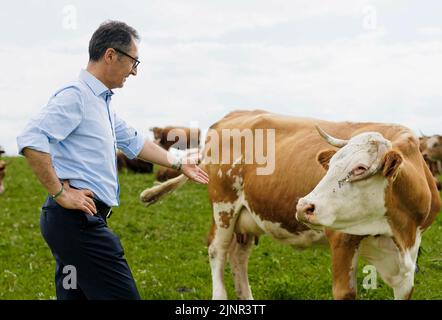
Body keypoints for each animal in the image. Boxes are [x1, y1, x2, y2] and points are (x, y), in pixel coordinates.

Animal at [139, 110, 438, 300]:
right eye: (331, 164)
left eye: (360, 168)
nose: (304, 206)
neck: (399, 233)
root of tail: (231, 117)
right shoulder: (341, 239)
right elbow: (346, 292)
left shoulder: (409, 256)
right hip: (224, 205)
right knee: (218, 251)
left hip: (247, 218)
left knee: (239, 256)